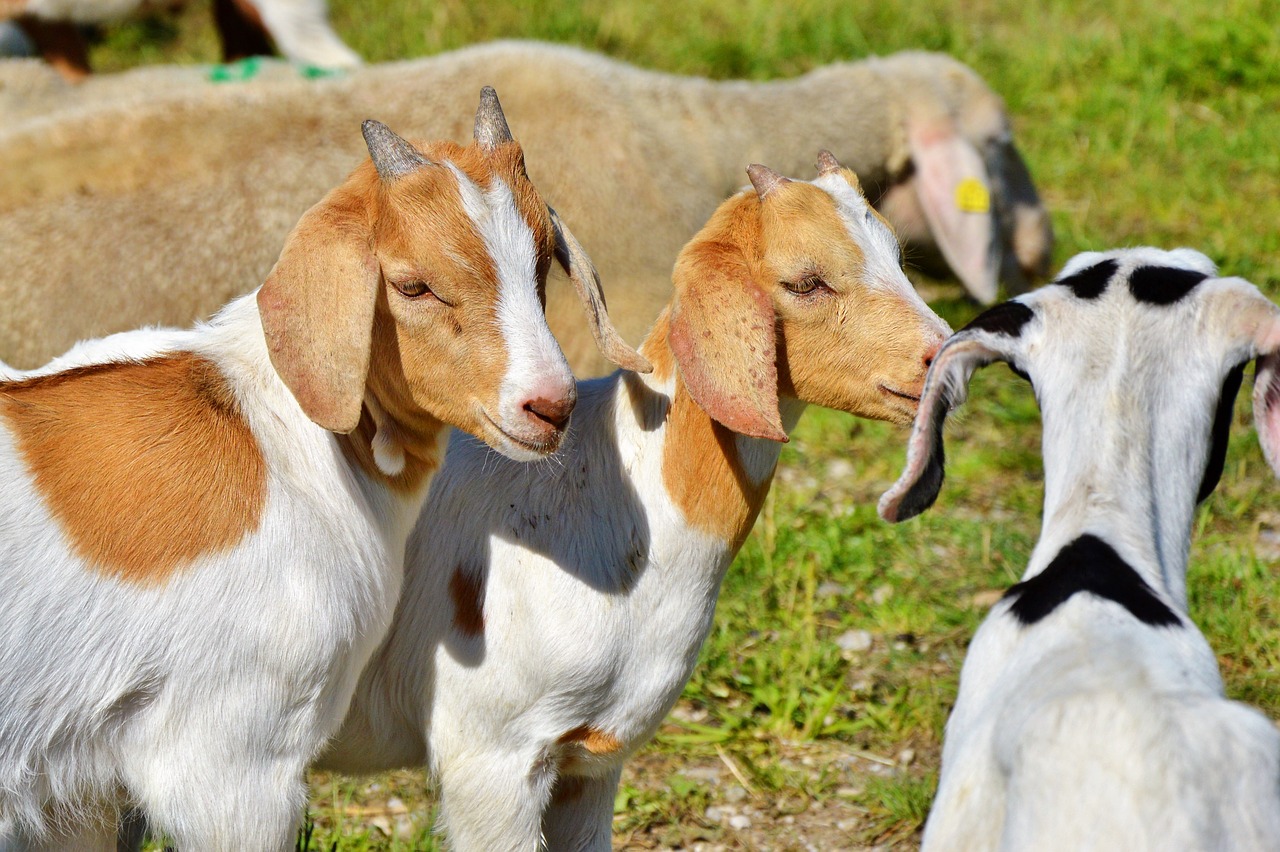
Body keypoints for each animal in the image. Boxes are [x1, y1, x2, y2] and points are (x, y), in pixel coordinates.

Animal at [304, 154, 952, 849]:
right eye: (806, 282)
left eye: (899, 254)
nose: (941, 355)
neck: (622, 497)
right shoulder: (490, 756)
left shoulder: (592, 758)